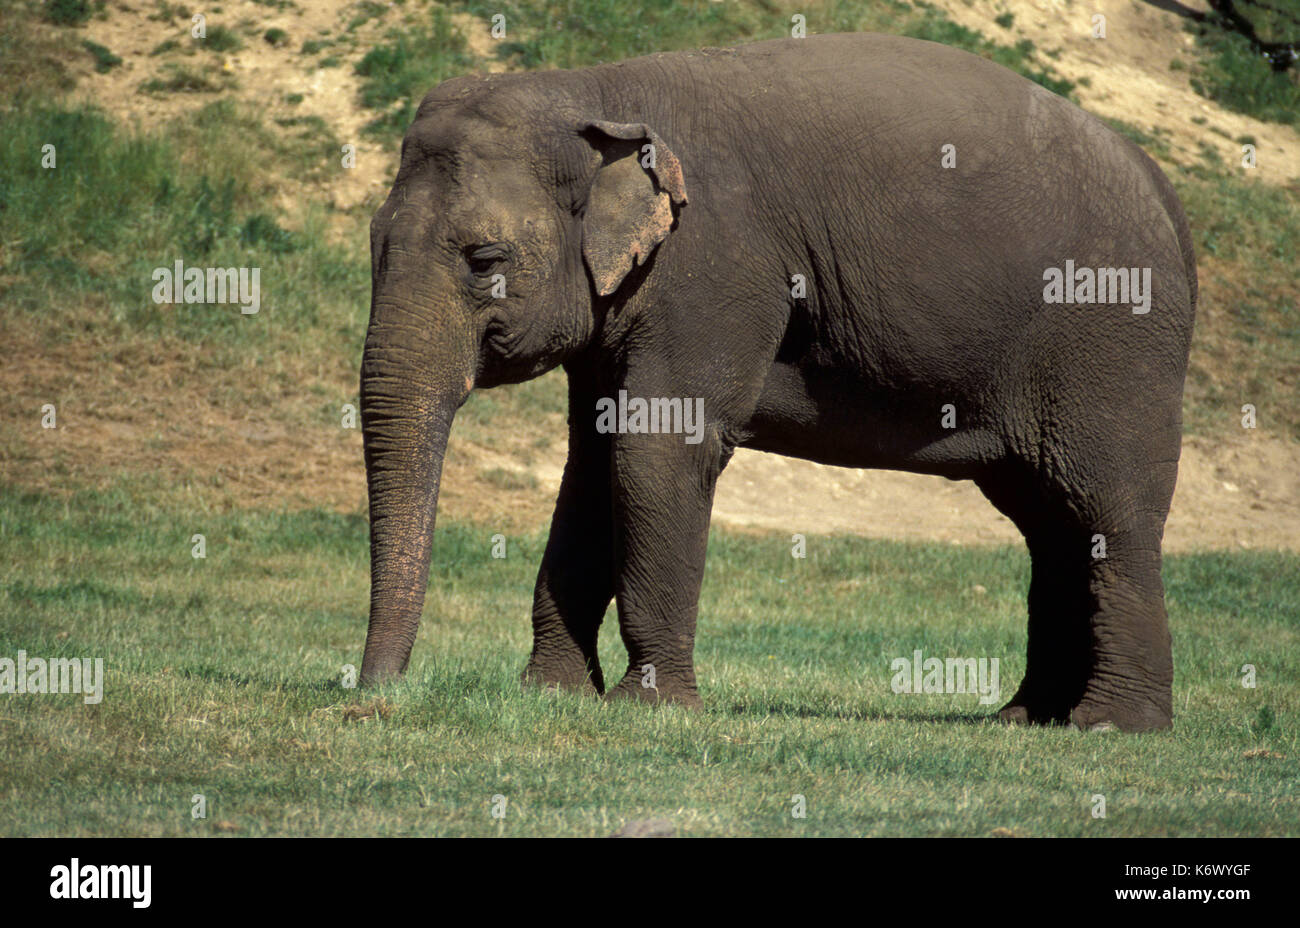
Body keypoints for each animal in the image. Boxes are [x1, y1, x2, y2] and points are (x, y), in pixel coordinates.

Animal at [358, 30, 1196, 727]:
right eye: (374, 243)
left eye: (484, 261)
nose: (375, 694)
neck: (598, 90)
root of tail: (1164, 191)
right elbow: (592, 462)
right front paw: (552, 697)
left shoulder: (717, 266)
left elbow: (654, 453)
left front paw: (649, 709)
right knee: (1049, 520)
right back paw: (1026, 719)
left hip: (1111, 341)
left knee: (1107, 508)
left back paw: (1113, 726)